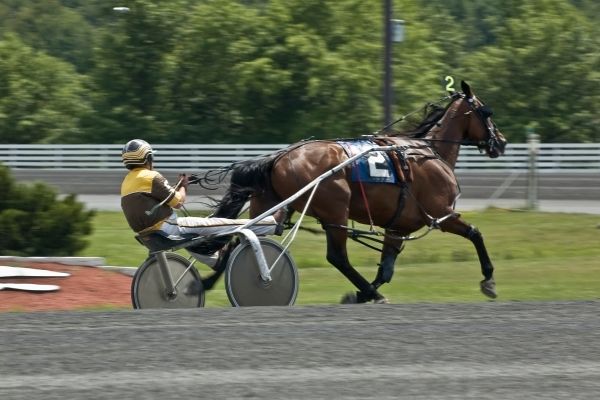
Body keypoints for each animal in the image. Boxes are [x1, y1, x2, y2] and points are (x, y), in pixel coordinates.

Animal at [206, 79, 506, 302]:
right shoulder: (442, 215)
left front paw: (360, 295)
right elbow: (475, 234)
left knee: (240, 237)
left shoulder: (397, 227)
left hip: (273, 207)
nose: (501, 142)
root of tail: (279, 156)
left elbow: (386, 270)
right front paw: (489, 280)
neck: (428, 153)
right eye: (486, 112)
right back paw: (372, 293)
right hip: (335, 210)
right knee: (337, 257)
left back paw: (205, 283)